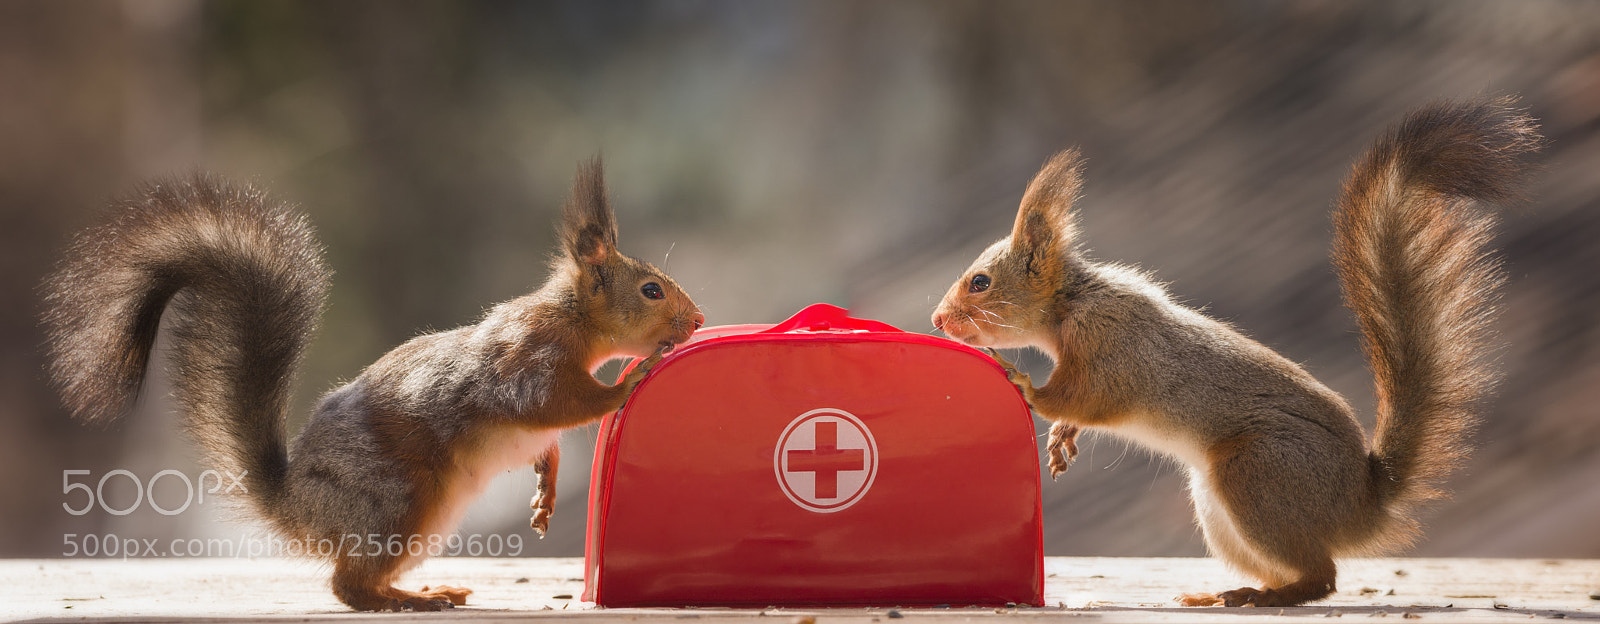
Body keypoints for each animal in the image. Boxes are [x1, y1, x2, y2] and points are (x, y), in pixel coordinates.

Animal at [41, 158, 705, 611]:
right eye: (651, 290)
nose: (697, 321)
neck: (572, 321)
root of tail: (296, 507)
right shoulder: (526, 362)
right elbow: (556, 404)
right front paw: (628, 380)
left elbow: (547, 441)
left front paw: (546, 488)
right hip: (399, 501)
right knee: (348, 586)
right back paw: (409, 601)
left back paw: (425, 588)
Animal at [931, 98, 1540, 607]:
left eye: (980, 283)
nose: (937, 320)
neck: (1072, 305)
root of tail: (1359, 504)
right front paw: (1061, 440)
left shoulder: (1112, 347)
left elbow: (1085, 396)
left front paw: (1025, 386)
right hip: (1220, 507)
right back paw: (1228, 593)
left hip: (1257, 475)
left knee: (1322, 577)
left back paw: (1269, 596)